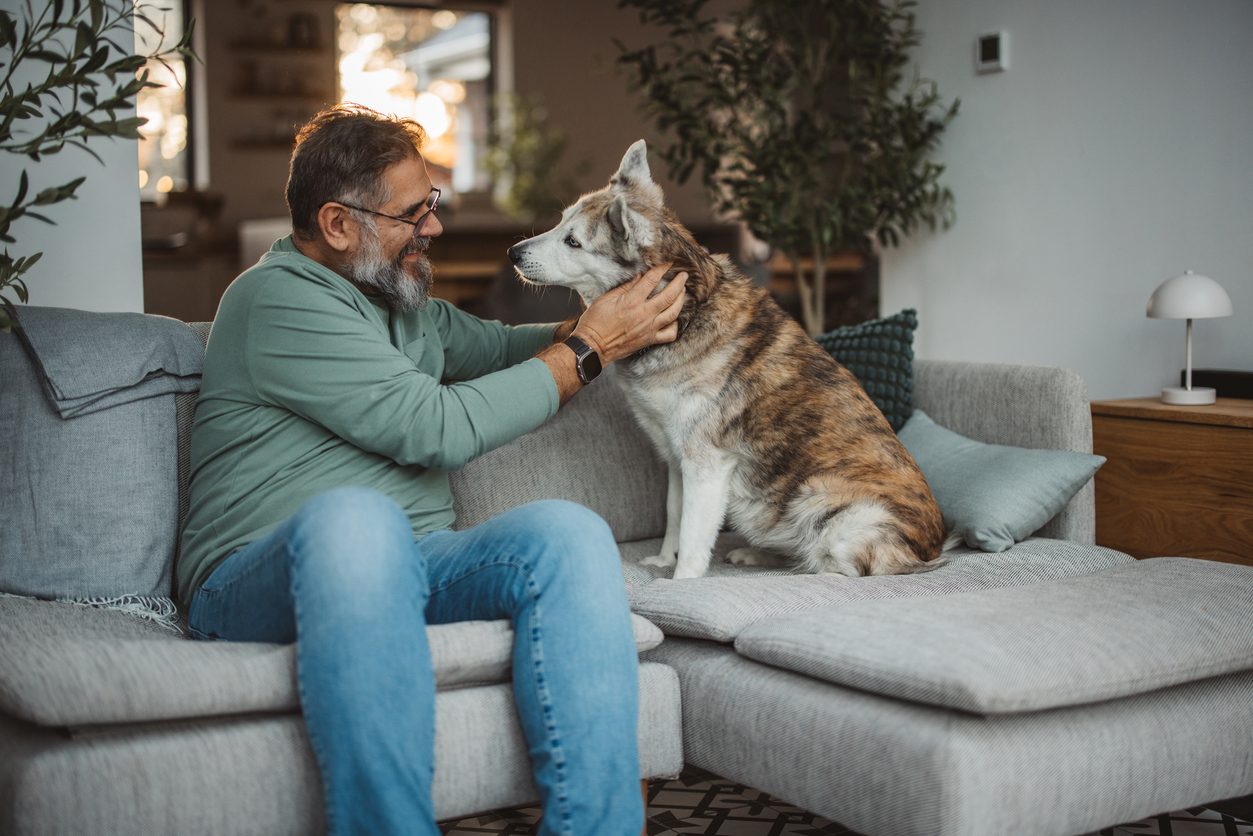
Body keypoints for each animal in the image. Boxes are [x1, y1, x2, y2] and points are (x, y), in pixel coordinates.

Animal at [508, 139, 947, 581]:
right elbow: (674, 516)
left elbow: (693, 533)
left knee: (832, 566)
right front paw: (664, 561)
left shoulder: (706, 466)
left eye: (573, 241)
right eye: (560, 223)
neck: (689, 312)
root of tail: (932, 551)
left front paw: (682, 582)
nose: (512, 252)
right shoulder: (676, 459)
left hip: (822, 505)